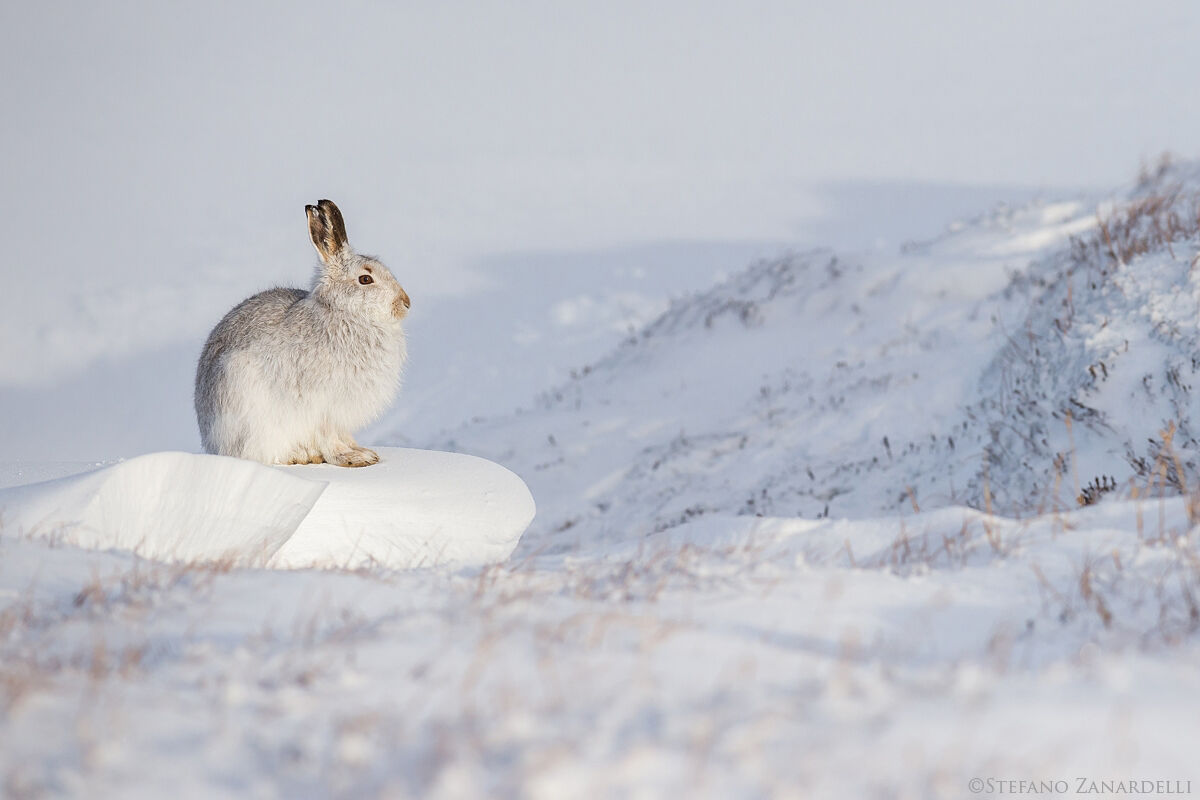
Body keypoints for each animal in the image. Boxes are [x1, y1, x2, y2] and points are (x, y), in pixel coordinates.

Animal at [195, 199, 410, 467]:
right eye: (365, 279)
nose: (405, 303)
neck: (342, 312)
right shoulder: (324, 406)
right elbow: (329, 437)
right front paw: (353, 458)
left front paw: (361, 450)